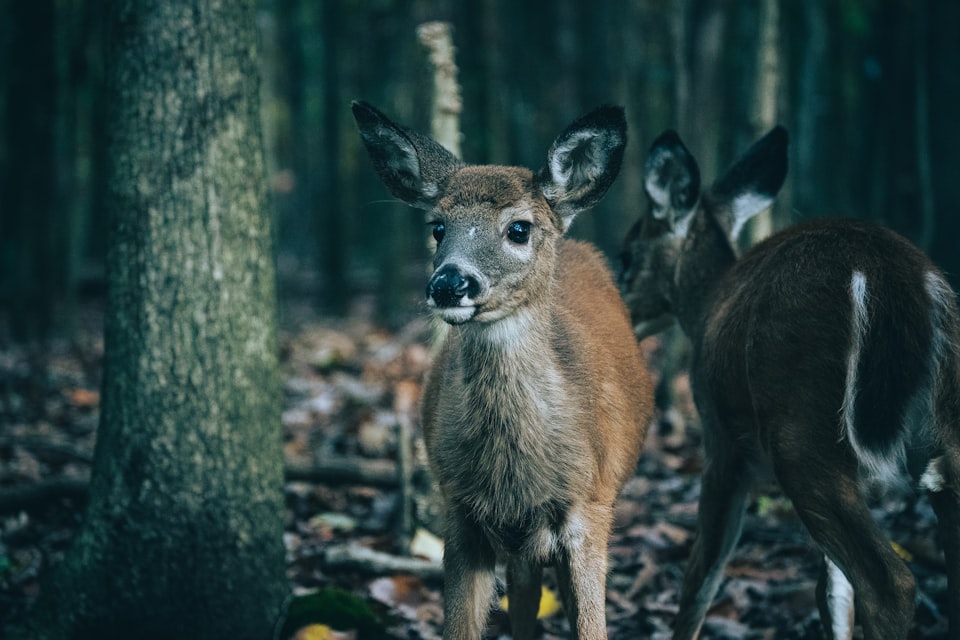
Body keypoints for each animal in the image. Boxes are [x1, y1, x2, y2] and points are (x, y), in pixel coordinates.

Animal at [352, 101, 652, 640]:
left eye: (518, 228)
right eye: (437, 226)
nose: (449, 283)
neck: (515, 479)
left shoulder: (592, 507)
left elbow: (590, 626)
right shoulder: (458, 510)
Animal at [620, 126, 960, 640]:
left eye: (627, 256)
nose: (619, 309)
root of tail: (896, 283)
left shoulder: (721, 442)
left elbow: (700, 579)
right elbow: (832, 589)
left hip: (802, 428)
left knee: (891, 584)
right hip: (940, 425)